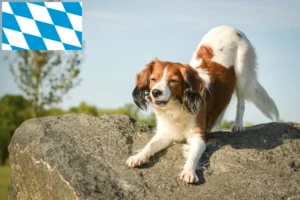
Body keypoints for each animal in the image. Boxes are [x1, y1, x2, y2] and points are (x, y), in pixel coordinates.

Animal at [125, 25, 280, 183]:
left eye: (173, 81)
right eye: (153, 79)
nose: (155, 92)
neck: (177, 107)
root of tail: (230, 27)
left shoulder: (198, 137)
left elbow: (193, 156)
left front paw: (189, 171)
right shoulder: (165, 133)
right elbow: (150, 145)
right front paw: (138, 157)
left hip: (242, 75)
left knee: (241, 103)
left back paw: (238, 125)